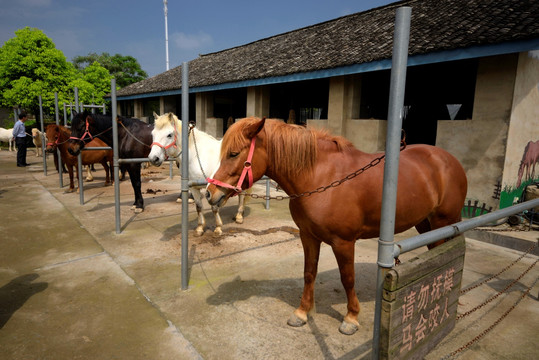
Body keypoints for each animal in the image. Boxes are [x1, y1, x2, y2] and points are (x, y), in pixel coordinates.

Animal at [207, 117, 468, 334]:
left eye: (233, 153)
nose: (210, 193)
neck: (321, 177)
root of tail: (449, 160)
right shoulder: (308, 236)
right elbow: (309, 273)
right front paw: (302, 313)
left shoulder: (343, 242)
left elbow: (347, 278)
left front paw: (351, 318)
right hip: (425, 224)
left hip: (445, 221)